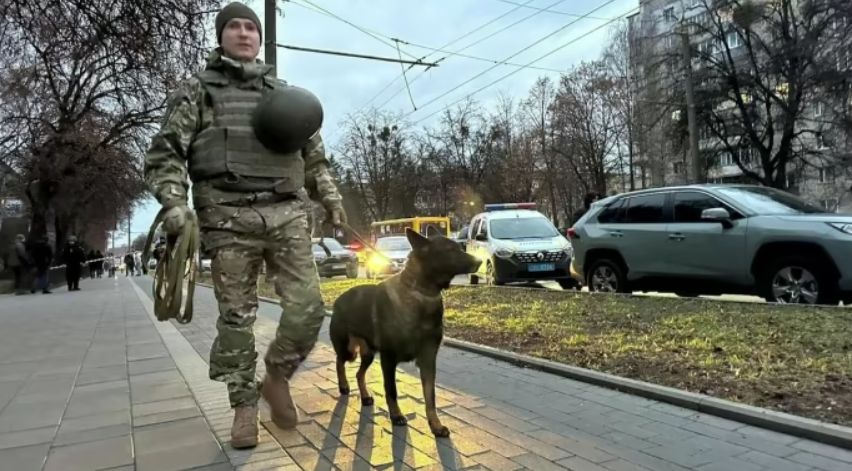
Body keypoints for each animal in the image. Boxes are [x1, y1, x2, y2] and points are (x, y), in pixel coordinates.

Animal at [332, 229, 482, 438]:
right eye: (450, 250)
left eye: (460, 248)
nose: (480, 261)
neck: (421, 293)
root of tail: (337, 300)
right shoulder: (388, 360)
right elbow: (391, 391)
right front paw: (396, 416)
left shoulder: (428, 361)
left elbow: (430, 398)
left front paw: (435, 425)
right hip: (349, 350)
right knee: (339, 361)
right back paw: (343, 385)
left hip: (368, 354)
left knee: (359, 373)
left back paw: (365, 396)